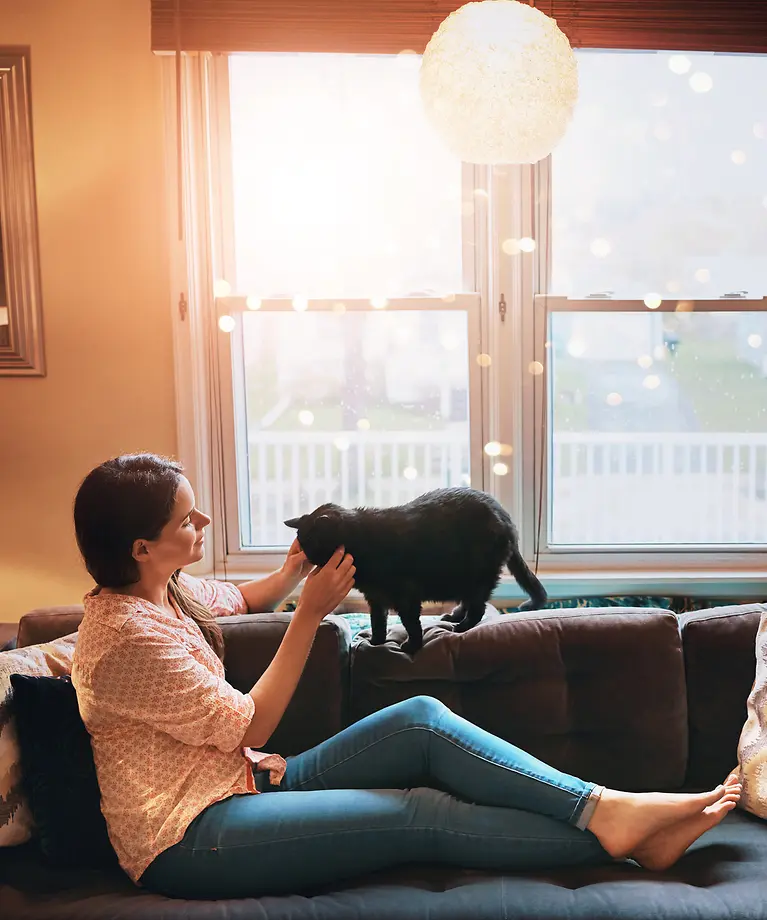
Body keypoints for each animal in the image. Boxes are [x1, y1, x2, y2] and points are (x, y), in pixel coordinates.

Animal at [286, 488, 544, 656]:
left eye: (310, 543)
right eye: (301, 542)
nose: (306, 557)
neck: (361, 543)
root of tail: (506, 520)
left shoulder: (406, 596)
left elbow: (411, 623)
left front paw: (413, 646)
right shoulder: (375, 597)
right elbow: (377, 620)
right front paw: (376, 641)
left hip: (477, 574)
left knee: (478, 606)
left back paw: (462, 626)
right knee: (469, 602)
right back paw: (454, 617)